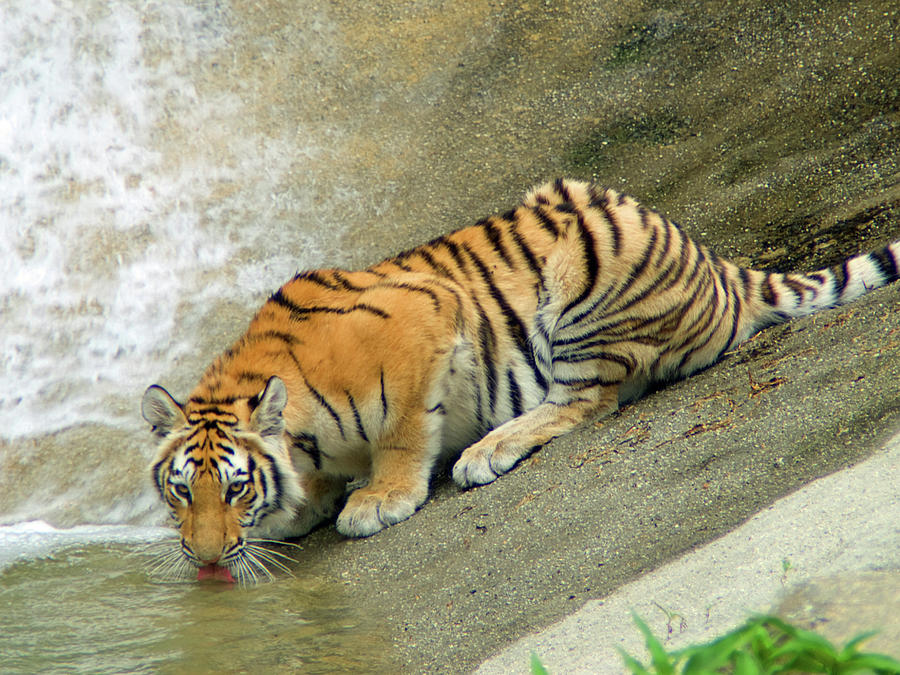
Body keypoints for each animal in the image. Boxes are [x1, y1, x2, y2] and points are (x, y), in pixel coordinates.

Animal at [141, 180, 900, 580]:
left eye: (236, 488)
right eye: (181, 491)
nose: (203, 560)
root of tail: (715, 261)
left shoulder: (424, 319)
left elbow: (403, 429)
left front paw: (380, 498)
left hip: (585, 279)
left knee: (588, 400)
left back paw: (486, 451)